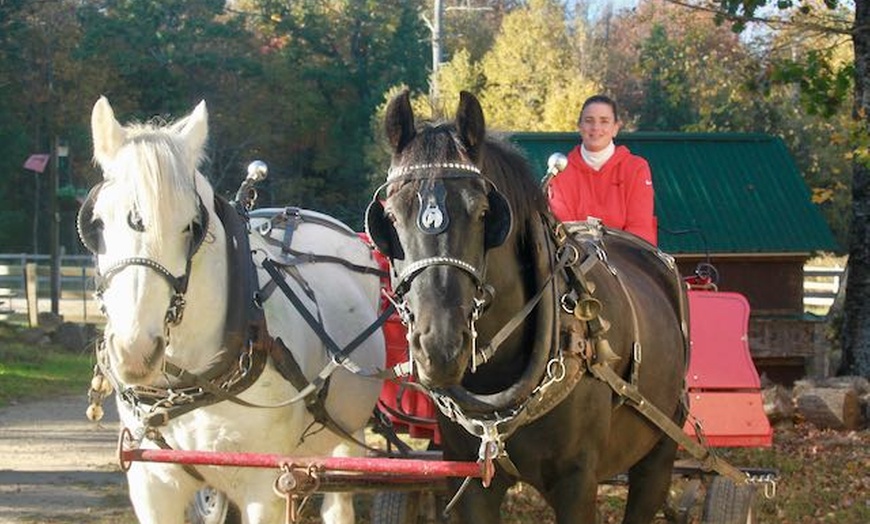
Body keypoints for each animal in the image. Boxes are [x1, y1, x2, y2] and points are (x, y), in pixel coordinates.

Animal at [78, 97, 385, 524]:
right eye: (98, 224)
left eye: (192, 226)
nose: (134, 351)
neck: (192, 378)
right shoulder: (153, 484)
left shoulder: (264, 485)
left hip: (347, 435)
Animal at [365, 91, 690, 523]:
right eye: (389, 215)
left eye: (483, 212)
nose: (440, 347)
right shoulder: (470, 482)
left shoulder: (577, 483)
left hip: (659, 452)